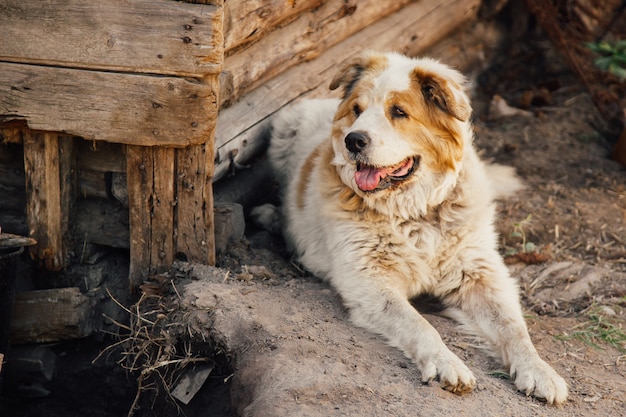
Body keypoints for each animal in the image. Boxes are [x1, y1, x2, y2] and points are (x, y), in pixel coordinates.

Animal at [251, 51, 568, 404]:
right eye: (357, 110)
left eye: (399, 112)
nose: (353, 140)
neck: (415, 212)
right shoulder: (369, 280)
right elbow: (419, 325)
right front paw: (446, 363)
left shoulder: (480, 275)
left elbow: (513, 328)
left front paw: (539, 371)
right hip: (285, 126)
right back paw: (271, 217)